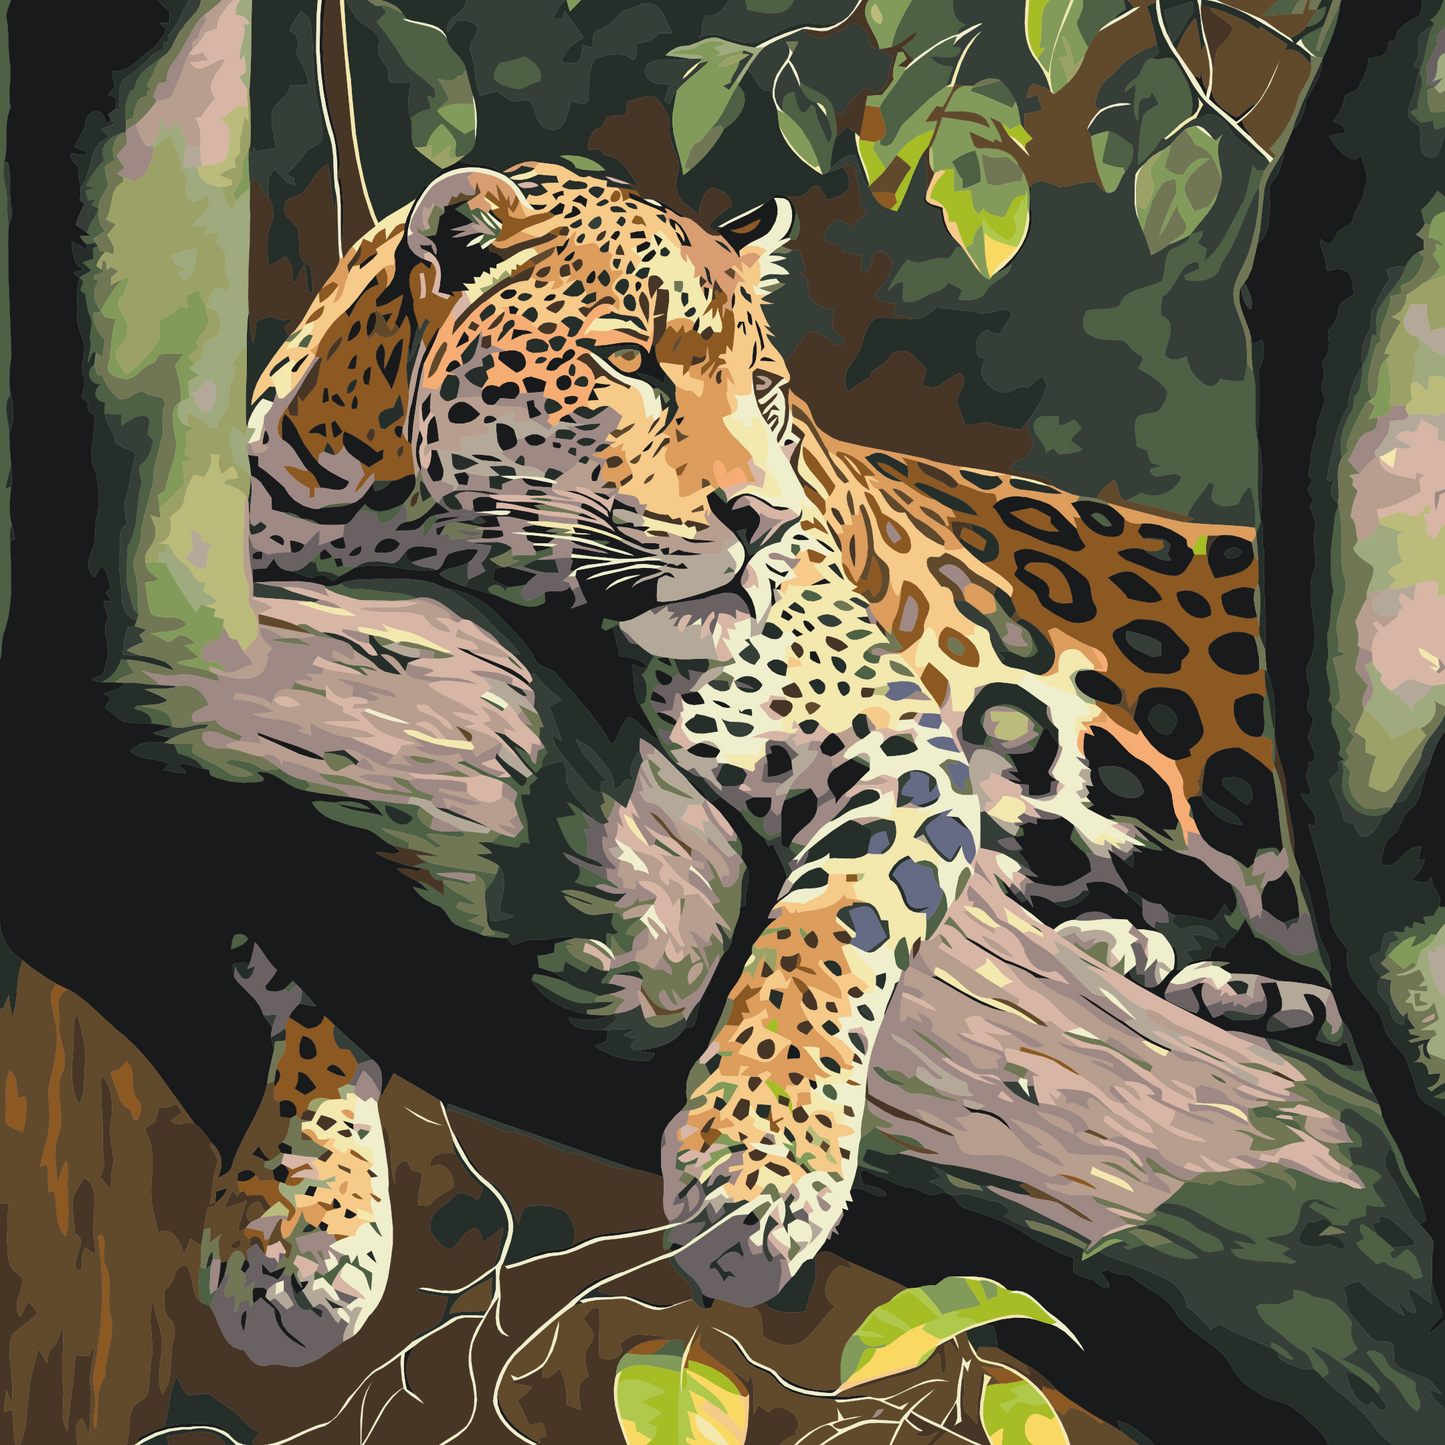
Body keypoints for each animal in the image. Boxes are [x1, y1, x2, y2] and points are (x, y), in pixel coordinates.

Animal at [192, 159, 1333, 1363]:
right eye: (628, 360)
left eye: (769, 393)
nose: (770, 520)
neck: (407, 523)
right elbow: (305, 957)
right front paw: (294, 1213)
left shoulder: (891, 738)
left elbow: (836, 923)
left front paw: (762, 1166)